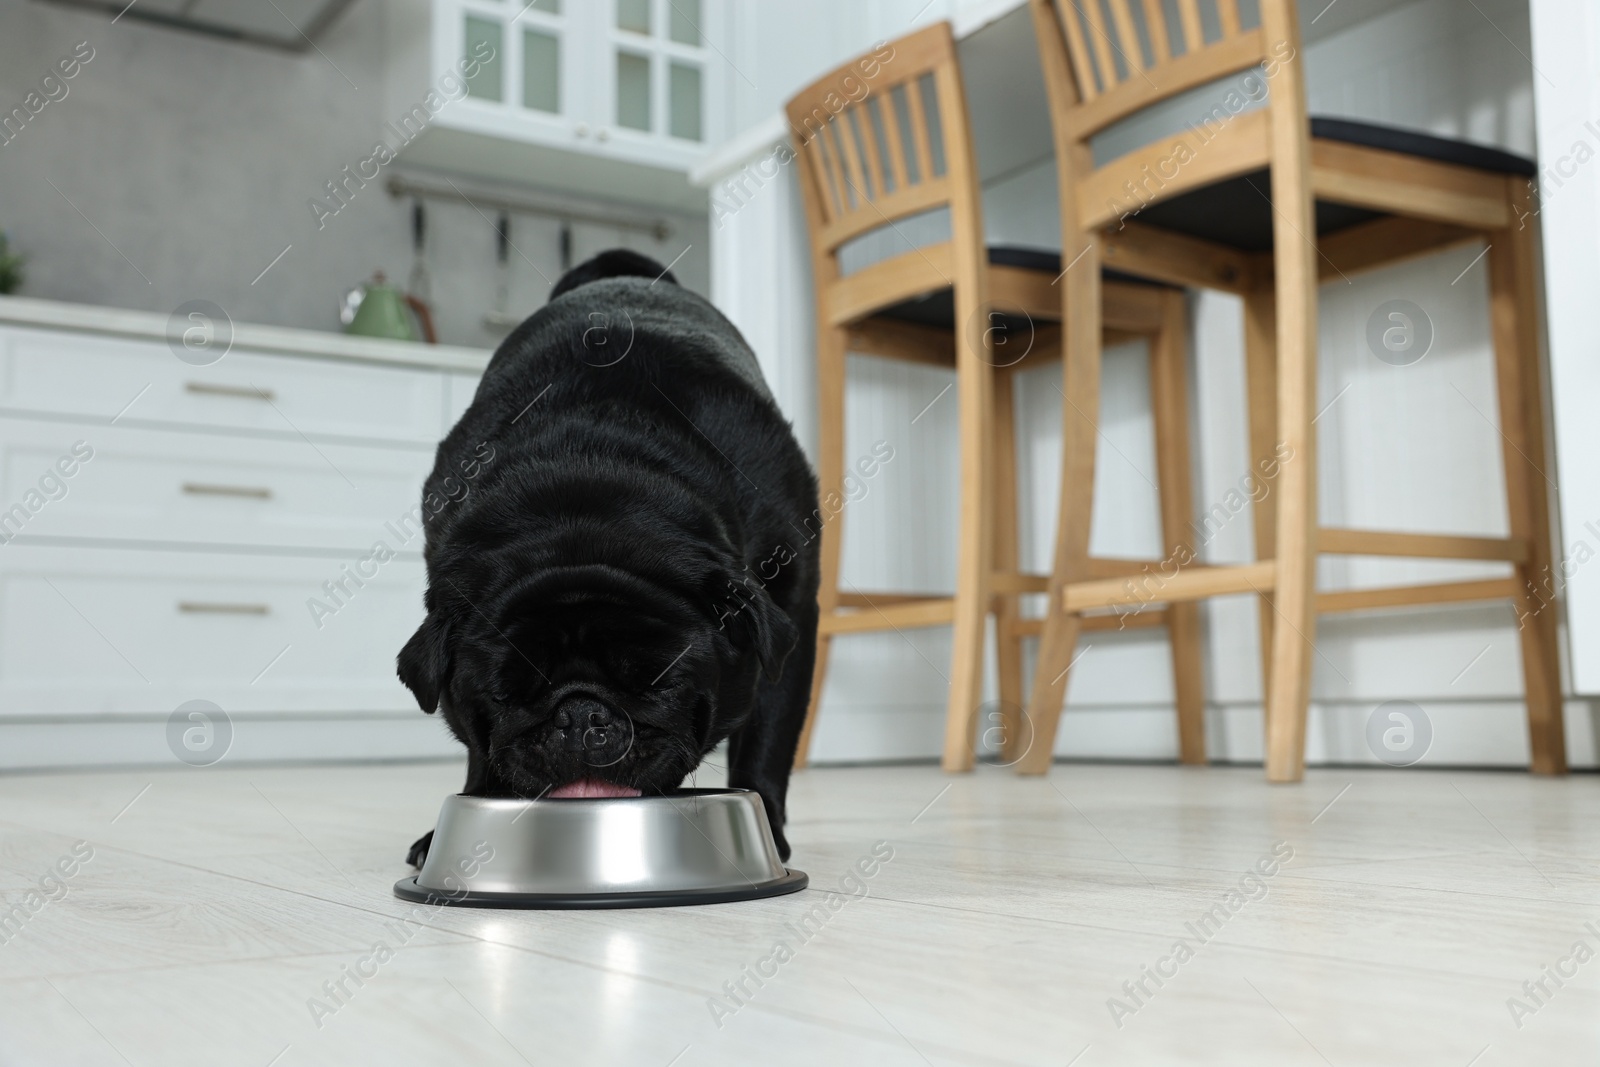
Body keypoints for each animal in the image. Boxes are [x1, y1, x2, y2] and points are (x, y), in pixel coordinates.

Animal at [395, 252, 819, 870]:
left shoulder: (789, 606)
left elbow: (768, 734)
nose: (580, 716)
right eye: (504, 694)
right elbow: (478, 746)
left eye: (660, 682)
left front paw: (769, 827)